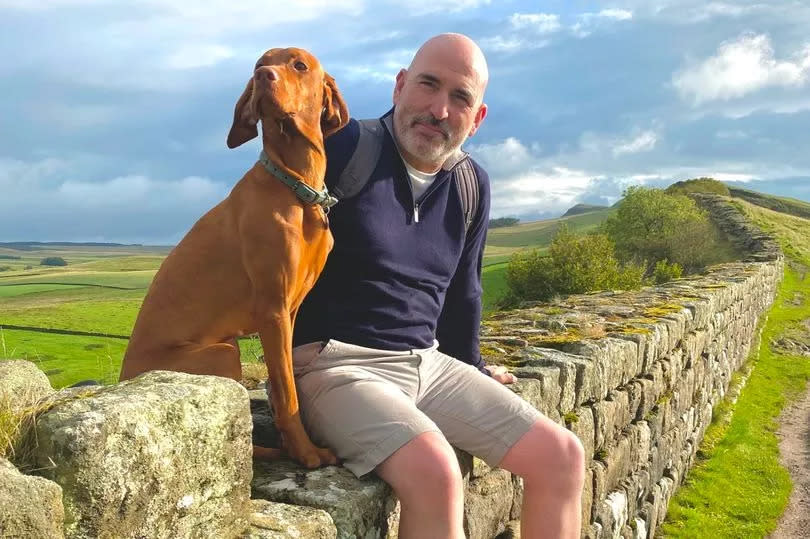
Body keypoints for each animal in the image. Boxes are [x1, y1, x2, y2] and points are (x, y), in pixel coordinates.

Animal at [117, 48, 348, 470]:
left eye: (299, 65)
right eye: (259, 63)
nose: (262, 76)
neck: (296, 189)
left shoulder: (289, 311)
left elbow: (285, 382)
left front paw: (294, 443)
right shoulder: (272, 310)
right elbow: (286, 393)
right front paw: (305, 452)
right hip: (223, 351)